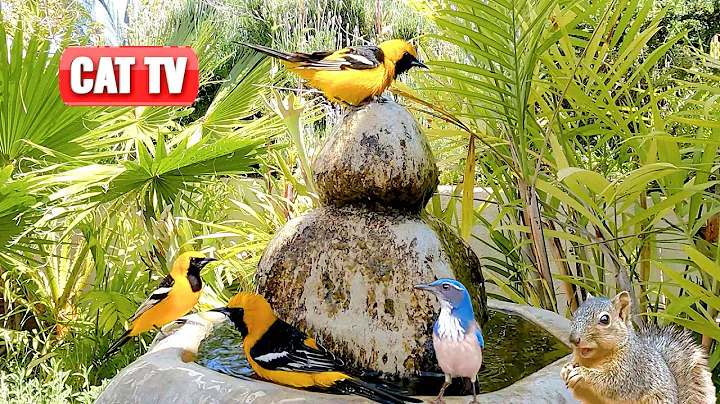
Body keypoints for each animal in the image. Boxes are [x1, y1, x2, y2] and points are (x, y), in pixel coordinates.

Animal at [560, 291, 716, 404]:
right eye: (575, 314)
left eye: (605, 319)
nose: (574, 339)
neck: (595, 360)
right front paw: (565, 369)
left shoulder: (633, 369)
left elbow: (614, 383)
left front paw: (582, 373)